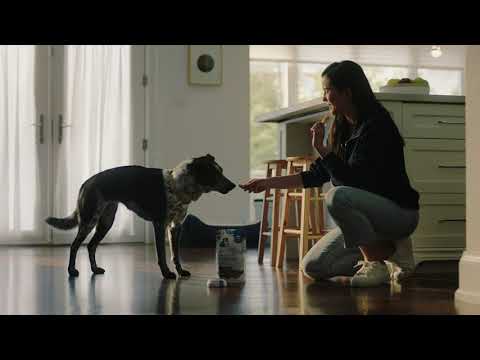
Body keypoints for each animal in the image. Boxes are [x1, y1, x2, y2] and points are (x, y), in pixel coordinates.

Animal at [46, 154, 237, 278]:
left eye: (221, 171)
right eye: (214, 174)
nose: (233, 185)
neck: (178, 186)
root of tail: (86, 182)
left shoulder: (175, 227)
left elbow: (175, 255)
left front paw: (180, 271)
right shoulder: (159, 224)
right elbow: (162, 255)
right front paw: (167, 273)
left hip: (106, 222)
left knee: (91, 246)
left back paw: (95, 269)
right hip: (89, 221)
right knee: (74, 246)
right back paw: (72, 271)